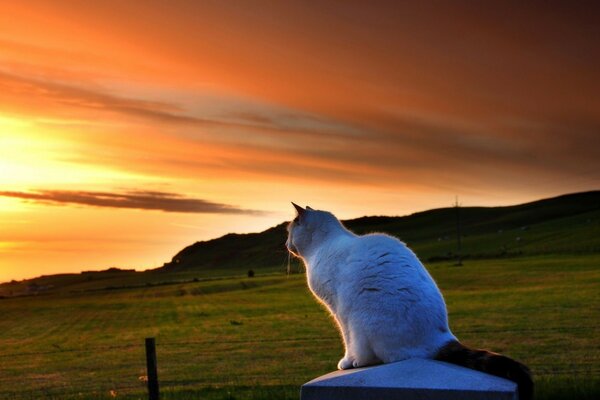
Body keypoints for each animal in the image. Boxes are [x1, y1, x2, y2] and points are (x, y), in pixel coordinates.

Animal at [288, 203, 536, 400]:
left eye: (289, 231)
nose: (286, 244)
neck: (321, 246)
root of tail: (442, 338)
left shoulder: (339, 311)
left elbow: (347, 341)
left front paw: (347, 362)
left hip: (360, 317)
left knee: (377, 353)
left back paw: (361, 360)